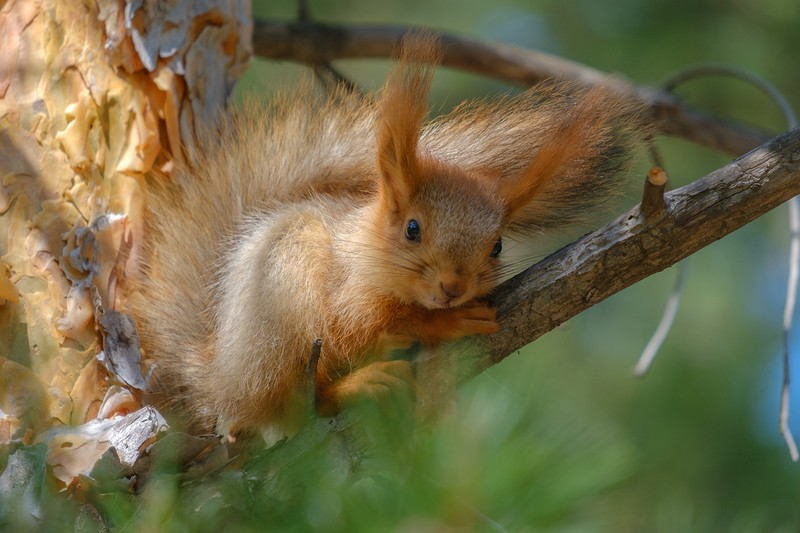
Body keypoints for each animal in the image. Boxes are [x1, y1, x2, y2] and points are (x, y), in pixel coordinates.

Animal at [128, 33, 648, 436]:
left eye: (498, 246)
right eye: (412, 228)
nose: (453, 288)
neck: (369, 248)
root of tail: (219, 378)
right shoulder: (347, 295)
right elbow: (361, 325)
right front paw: (441, 323)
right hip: (284, 286)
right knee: (296, 399)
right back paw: (359, 381)